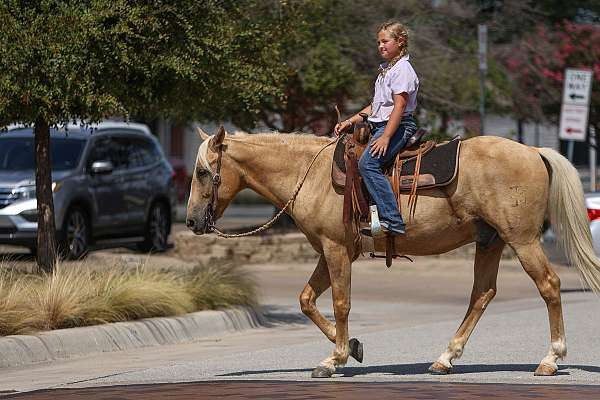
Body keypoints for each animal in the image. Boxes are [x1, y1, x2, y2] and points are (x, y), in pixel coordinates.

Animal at [186, 126, 600, 380]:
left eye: (204, 172)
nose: (191, 221)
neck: (312, 174)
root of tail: (534, 151)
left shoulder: (336, 250)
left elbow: (340, 303)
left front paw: (335, 358)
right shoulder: (329, 250)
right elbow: (306, 300)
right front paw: (351, 347)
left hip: (522, 240)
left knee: (549, 285)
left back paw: (550, 359)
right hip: (491, 241)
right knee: (482, 294)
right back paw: (445, 359)